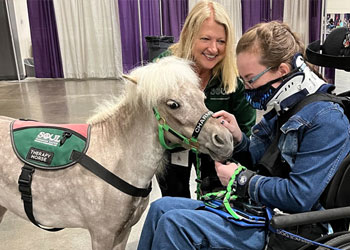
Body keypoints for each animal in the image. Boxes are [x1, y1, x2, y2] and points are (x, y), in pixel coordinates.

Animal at [0, 55, 234, 249]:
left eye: (202, 97)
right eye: (173, 104)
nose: (225, 140)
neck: (116, 159)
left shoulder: (122, 232)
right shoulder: (102, 234)